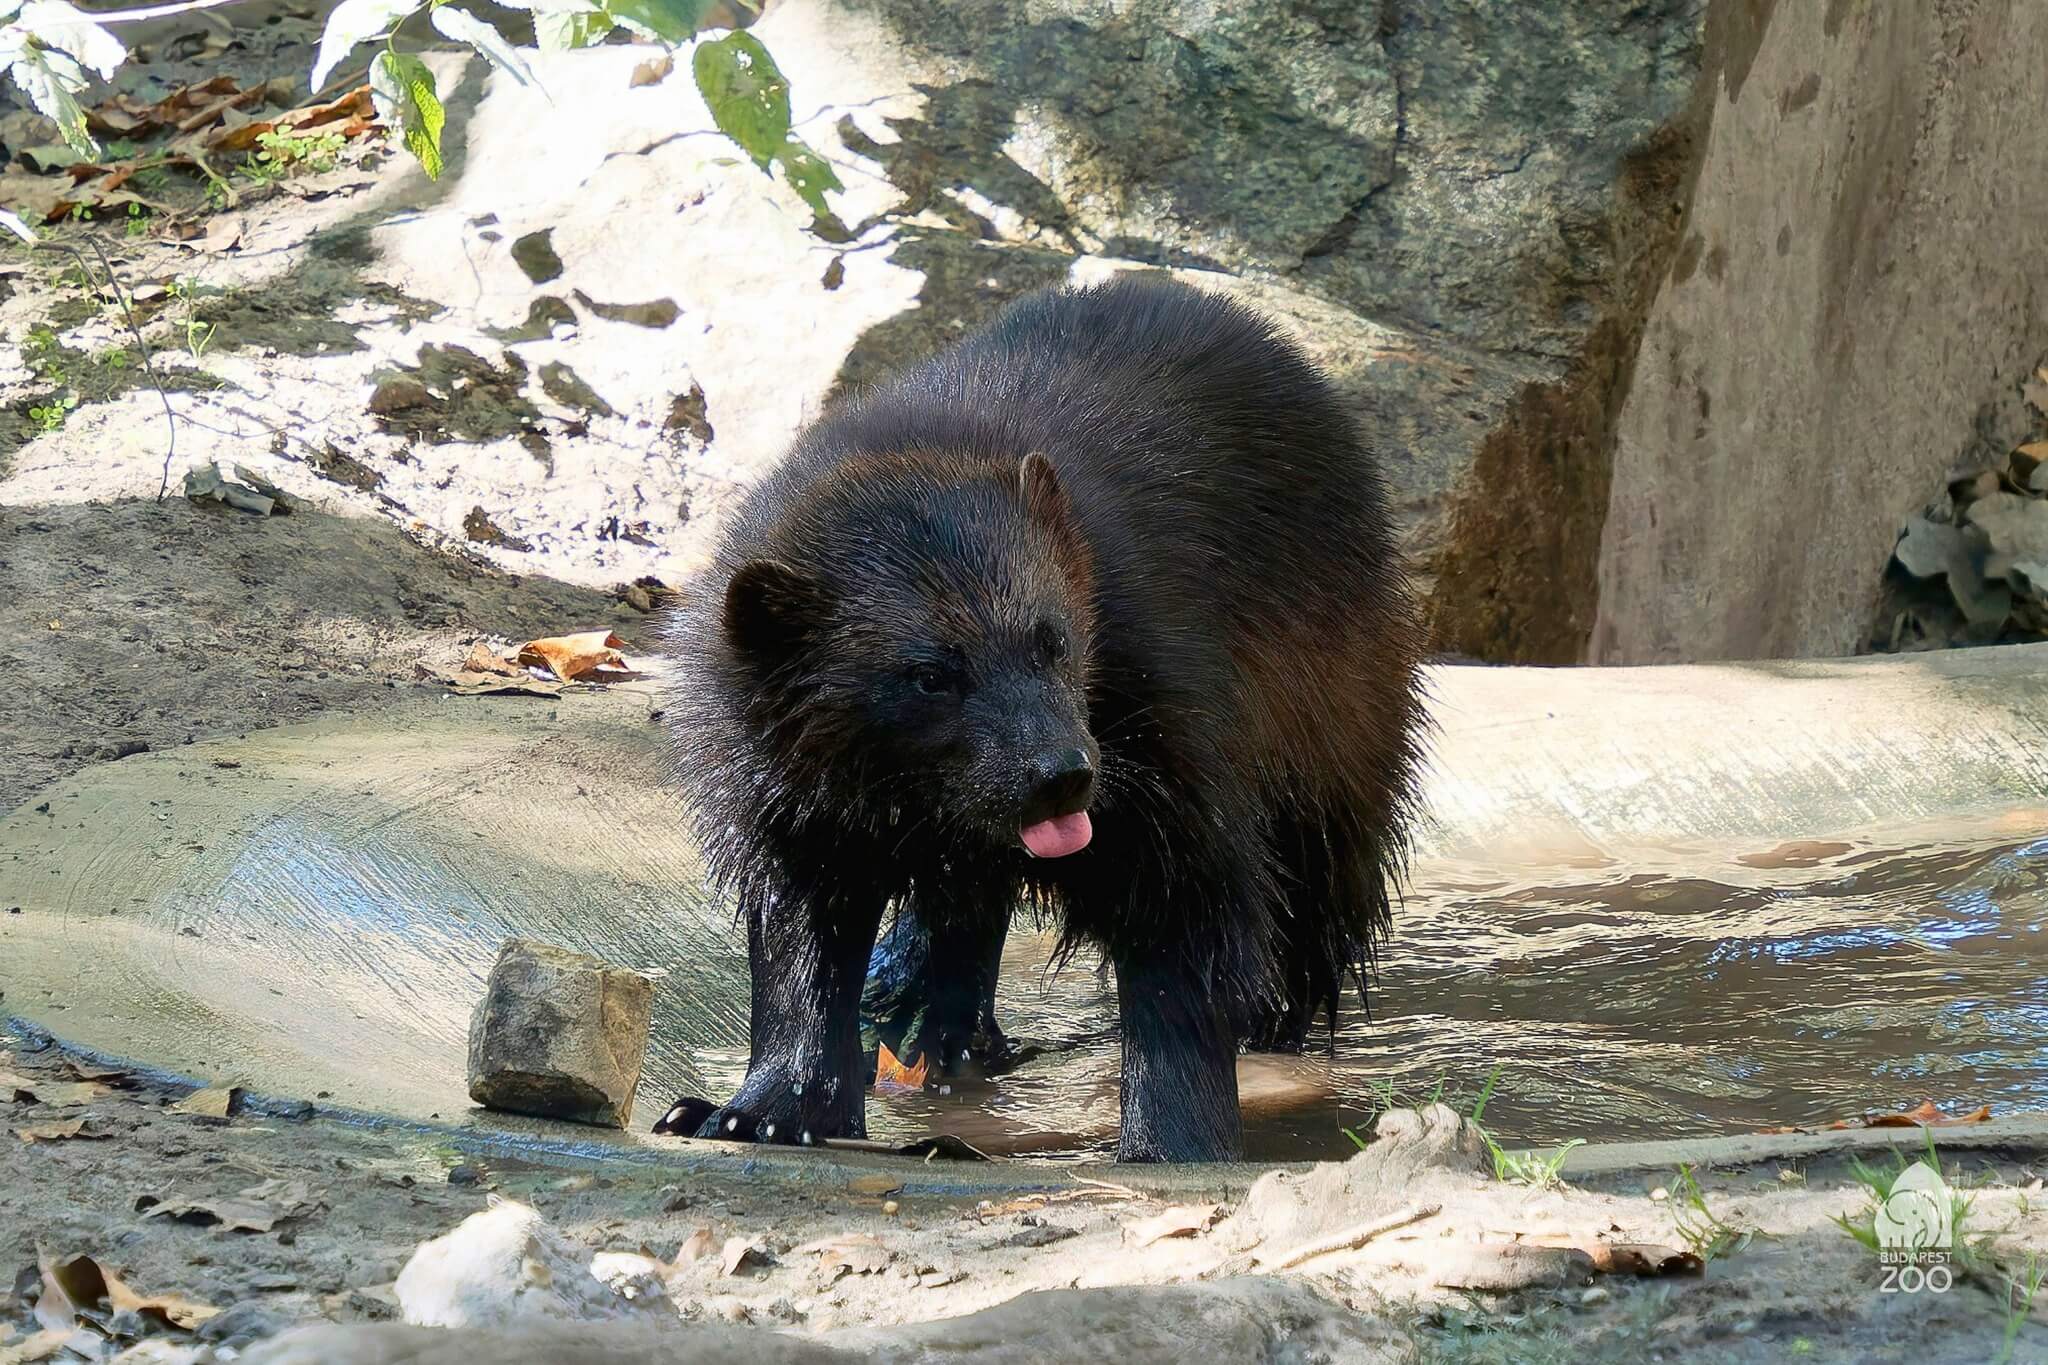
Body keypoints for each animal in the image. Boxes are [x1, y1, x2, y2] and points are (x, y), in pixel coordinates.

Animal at [652, 274, 1427, 1162]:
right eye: (928, 676)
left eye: (1052, 638)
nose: (1060, 775)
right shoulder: (780, 780)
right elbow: (801, 943)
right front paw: (760, 1110)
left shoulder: (1157, 711)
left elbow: (1187, 924)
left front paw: (1172, 1140)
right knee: (964, 904)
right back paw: (932, 1016)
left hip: (1337, 711)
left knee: (1314, 894)